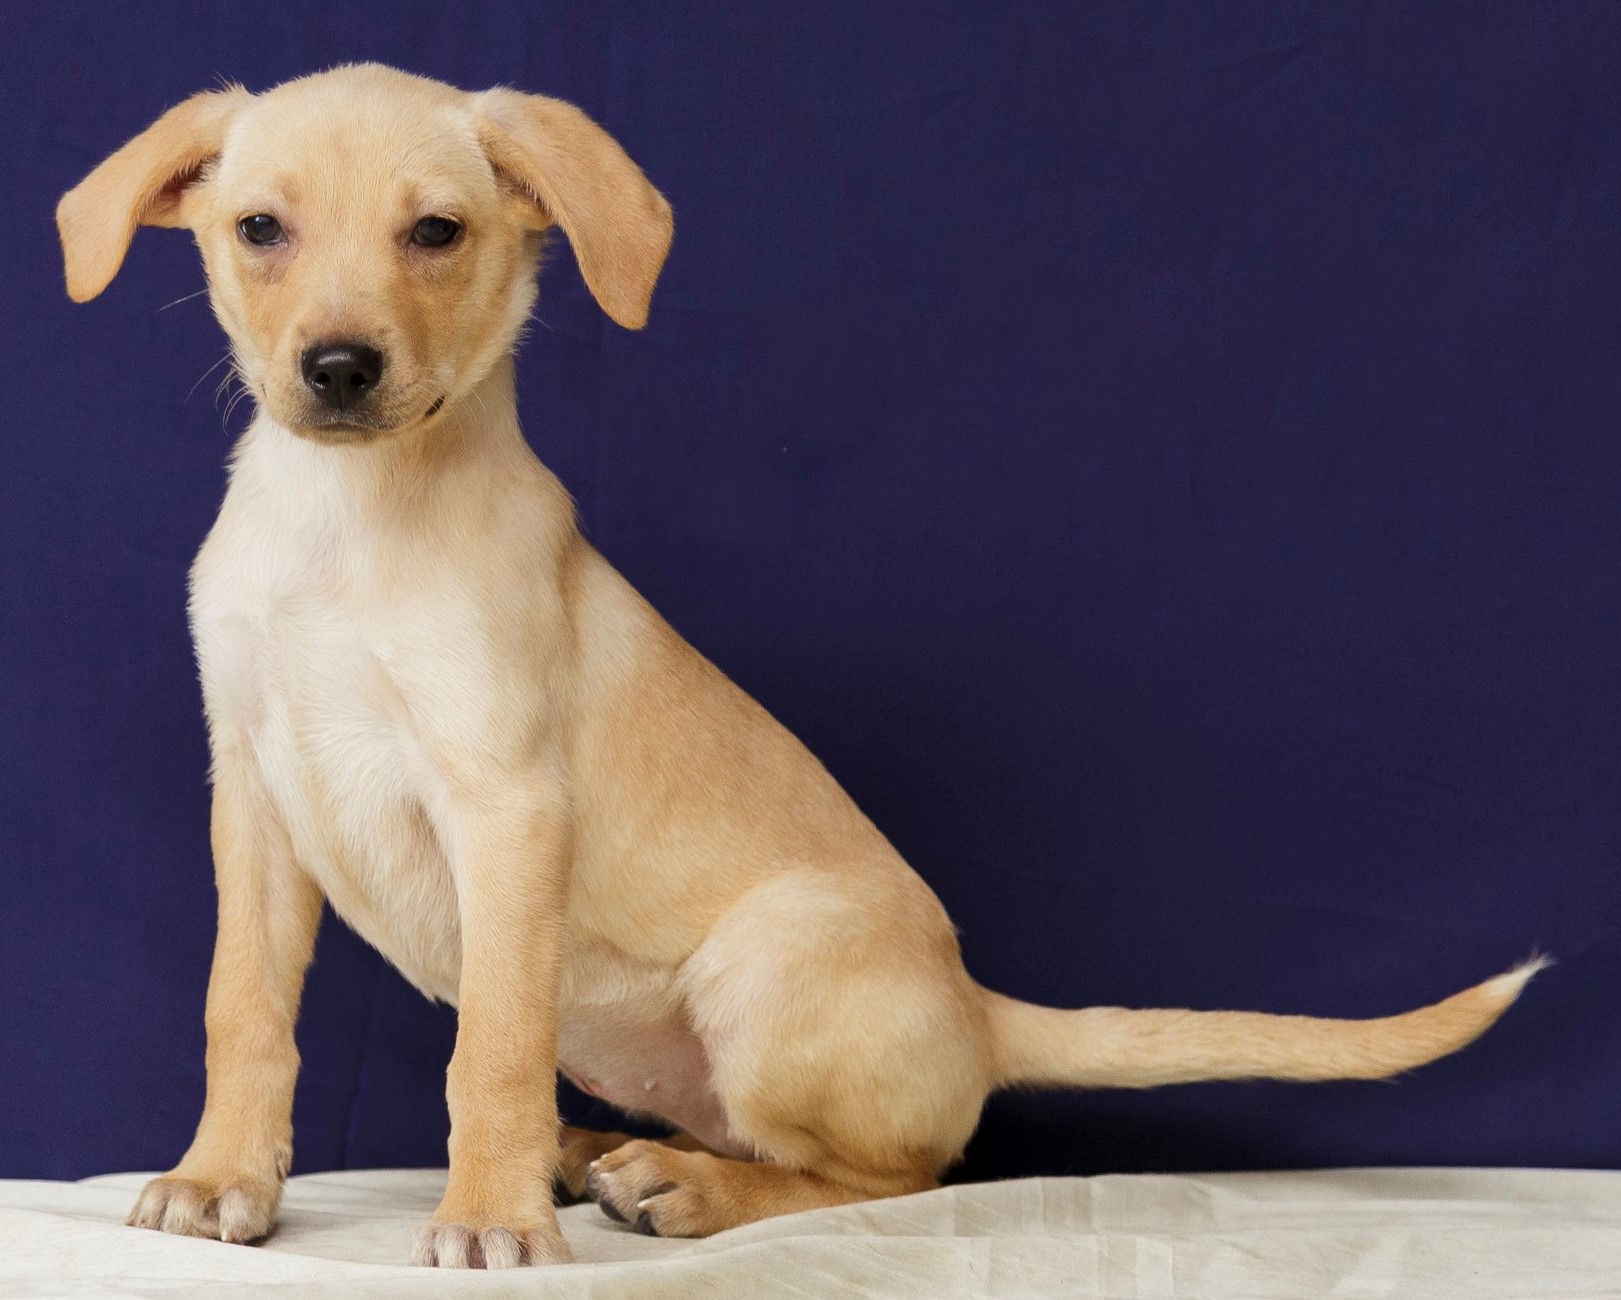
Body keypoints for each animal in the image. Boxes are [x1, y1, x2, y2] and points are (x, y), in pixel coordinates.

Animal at [53, 63, 1543, 1264]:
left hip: (768, 964)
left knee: (896, 1174)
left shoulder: (505, 803)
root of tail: (979, 1009)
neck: (350, 521)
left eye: (437, 232)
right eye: (260, 229)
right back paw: (597, 1152)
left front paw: (487, 1216)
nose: (340, 369)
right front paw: (221, 1181)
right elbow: (243, 1009)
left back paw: (676, 1189)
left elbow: (490, 1051)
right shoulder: (254, 793)